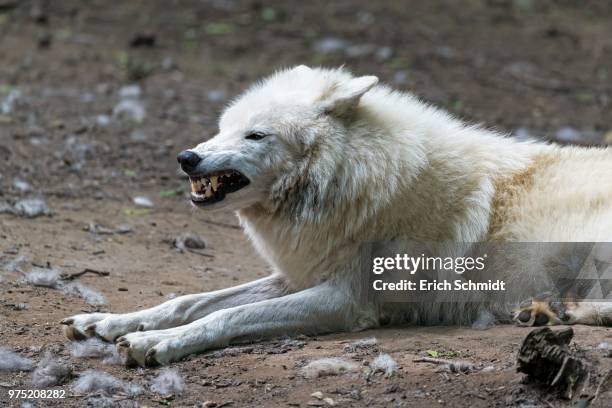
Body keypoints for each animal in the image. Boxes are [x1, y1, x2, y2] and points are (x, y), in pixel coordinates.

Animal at [61, 66, 612, 366]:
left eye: (255, 135)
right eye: (223, 129)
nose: (187, 157)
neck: (354, 181)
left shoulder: (345, 300)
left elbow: (226, 315)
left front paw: (155, 344)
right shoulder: (299, 274)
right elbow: (190, 301)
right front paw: (107, 322)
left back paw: (551, 312)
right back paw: (538, 312)